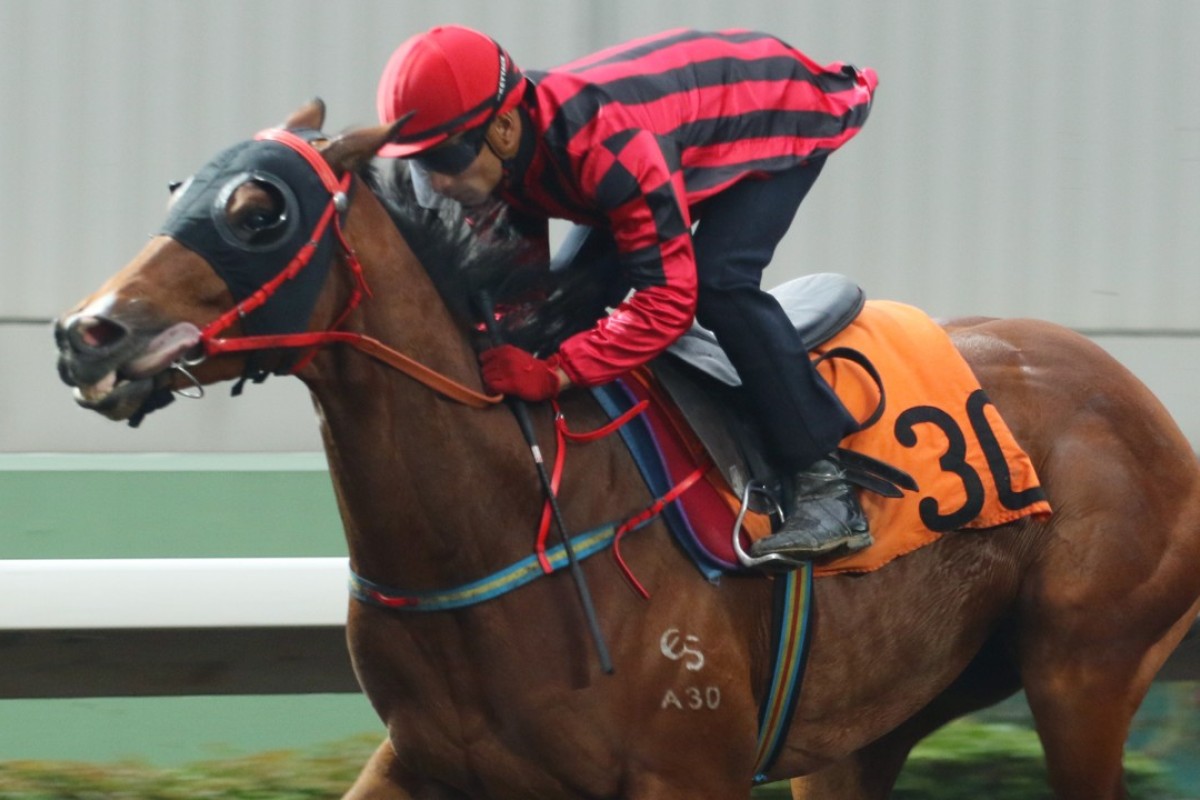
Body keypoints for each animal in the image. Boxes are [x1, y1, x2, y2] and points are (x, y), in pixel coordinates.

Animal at [51, 101, 1200, 800]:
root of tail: (1131, 393)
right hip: (881, 717)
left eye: (259, 209)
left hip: (1084, 667)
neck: (506, 516)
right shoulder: (422, 760)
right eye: (177, 190)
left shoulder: (687, 767)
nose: (85, 333)